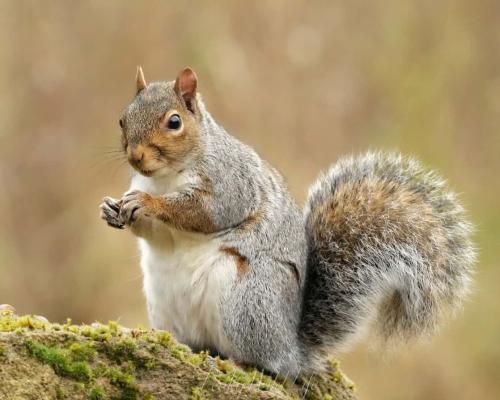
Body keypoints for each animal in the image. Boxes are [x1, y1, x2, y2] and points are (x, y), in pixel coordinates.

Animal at [99, 67, 474, 376]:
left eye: (174, 122)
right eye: (121, 119)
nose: (135, 156)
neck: (165, 177)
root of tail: (292, 349)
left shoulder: (230, 185)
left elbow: (205, 213)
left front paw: (147, 203)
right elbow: (152, 233)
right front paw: (111, 209)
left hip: (247, 300)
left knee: (267, 363)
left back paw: (240, 362)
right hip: (165, 305)